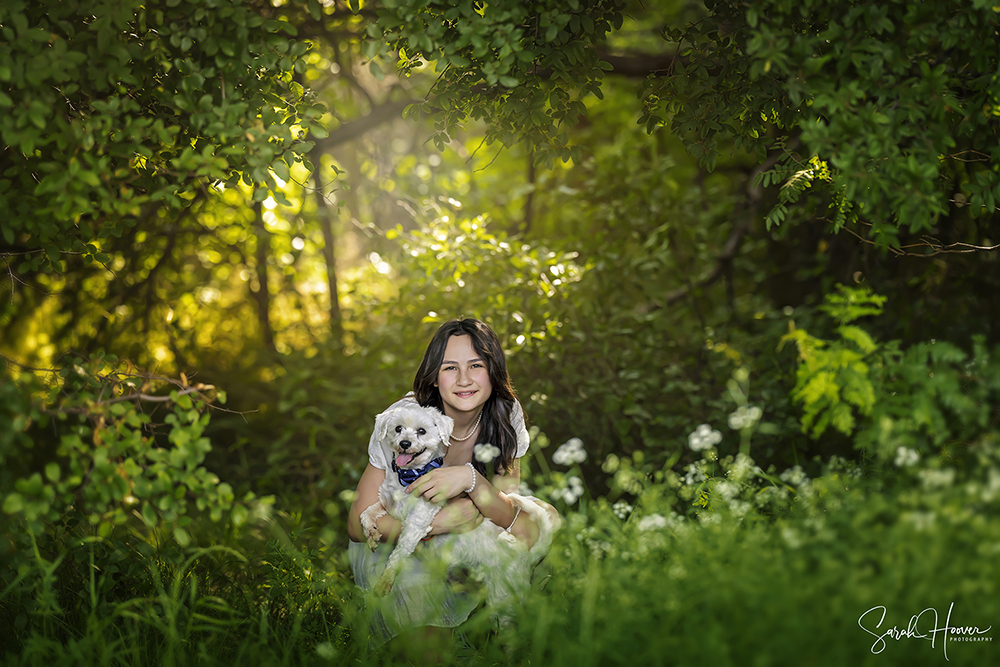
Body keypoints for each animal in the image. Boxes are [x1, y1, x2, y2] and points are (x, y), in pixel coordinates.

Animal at [360, 402, 532, 604]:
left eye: (421, 431)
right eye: (398, 428)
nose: (405, 443)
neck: (409, 477)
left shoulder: (416, 523)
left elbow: (398, 554)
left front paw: (385, 581)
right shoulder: (387, 503)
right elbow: (365, 513)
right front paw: (371, 533)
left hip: (503, 595)